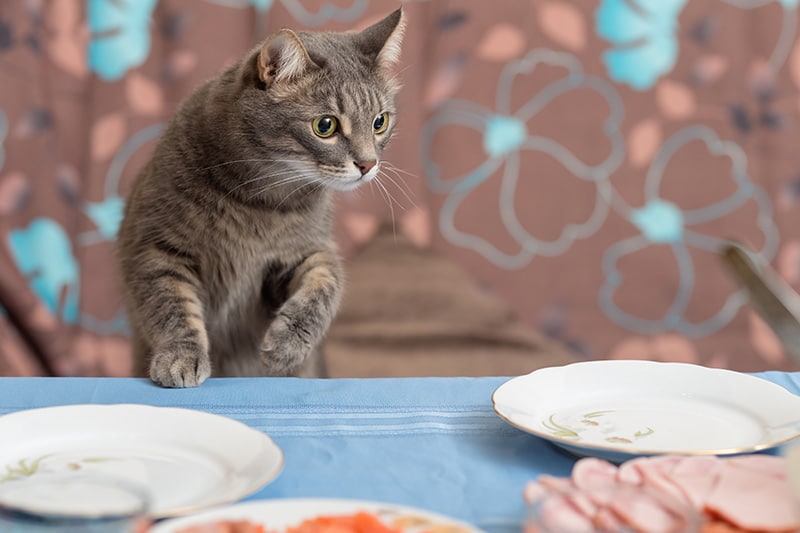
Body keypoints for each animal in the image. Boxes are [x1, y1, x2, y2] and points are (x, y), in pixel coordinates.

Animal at [117, 8, 406, 386]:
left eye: (379, 122)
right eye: (325, 126)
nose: (368, 164)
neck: (261, 201)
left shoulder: (307, 250)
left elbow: (326, 283)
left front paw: (288, 344)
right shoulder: (156, 247)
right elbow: (171, 306)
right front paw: (182, 355)